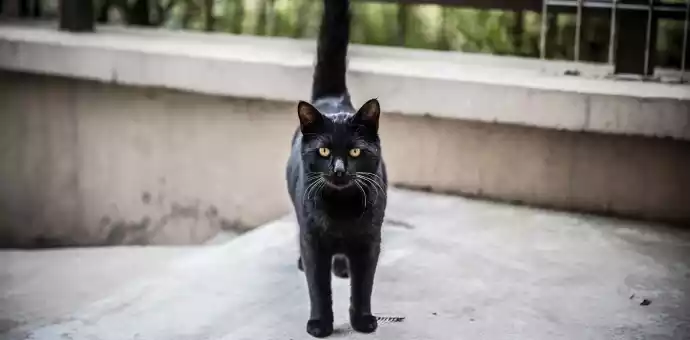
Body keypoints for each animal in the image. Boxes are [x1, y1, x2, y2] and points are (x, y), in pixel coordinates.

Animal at [282, 0, 384, 338]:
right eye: (324, 150)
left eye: (354, 151)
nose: (339, 170)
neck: (341, 210)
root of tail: (333, 99)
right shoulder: (314, 240)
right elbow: (318, 287)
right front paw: (320, 324)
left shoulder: (369, 241)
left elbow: (363, 285)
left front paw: (362, 321)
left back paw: (341, 267)